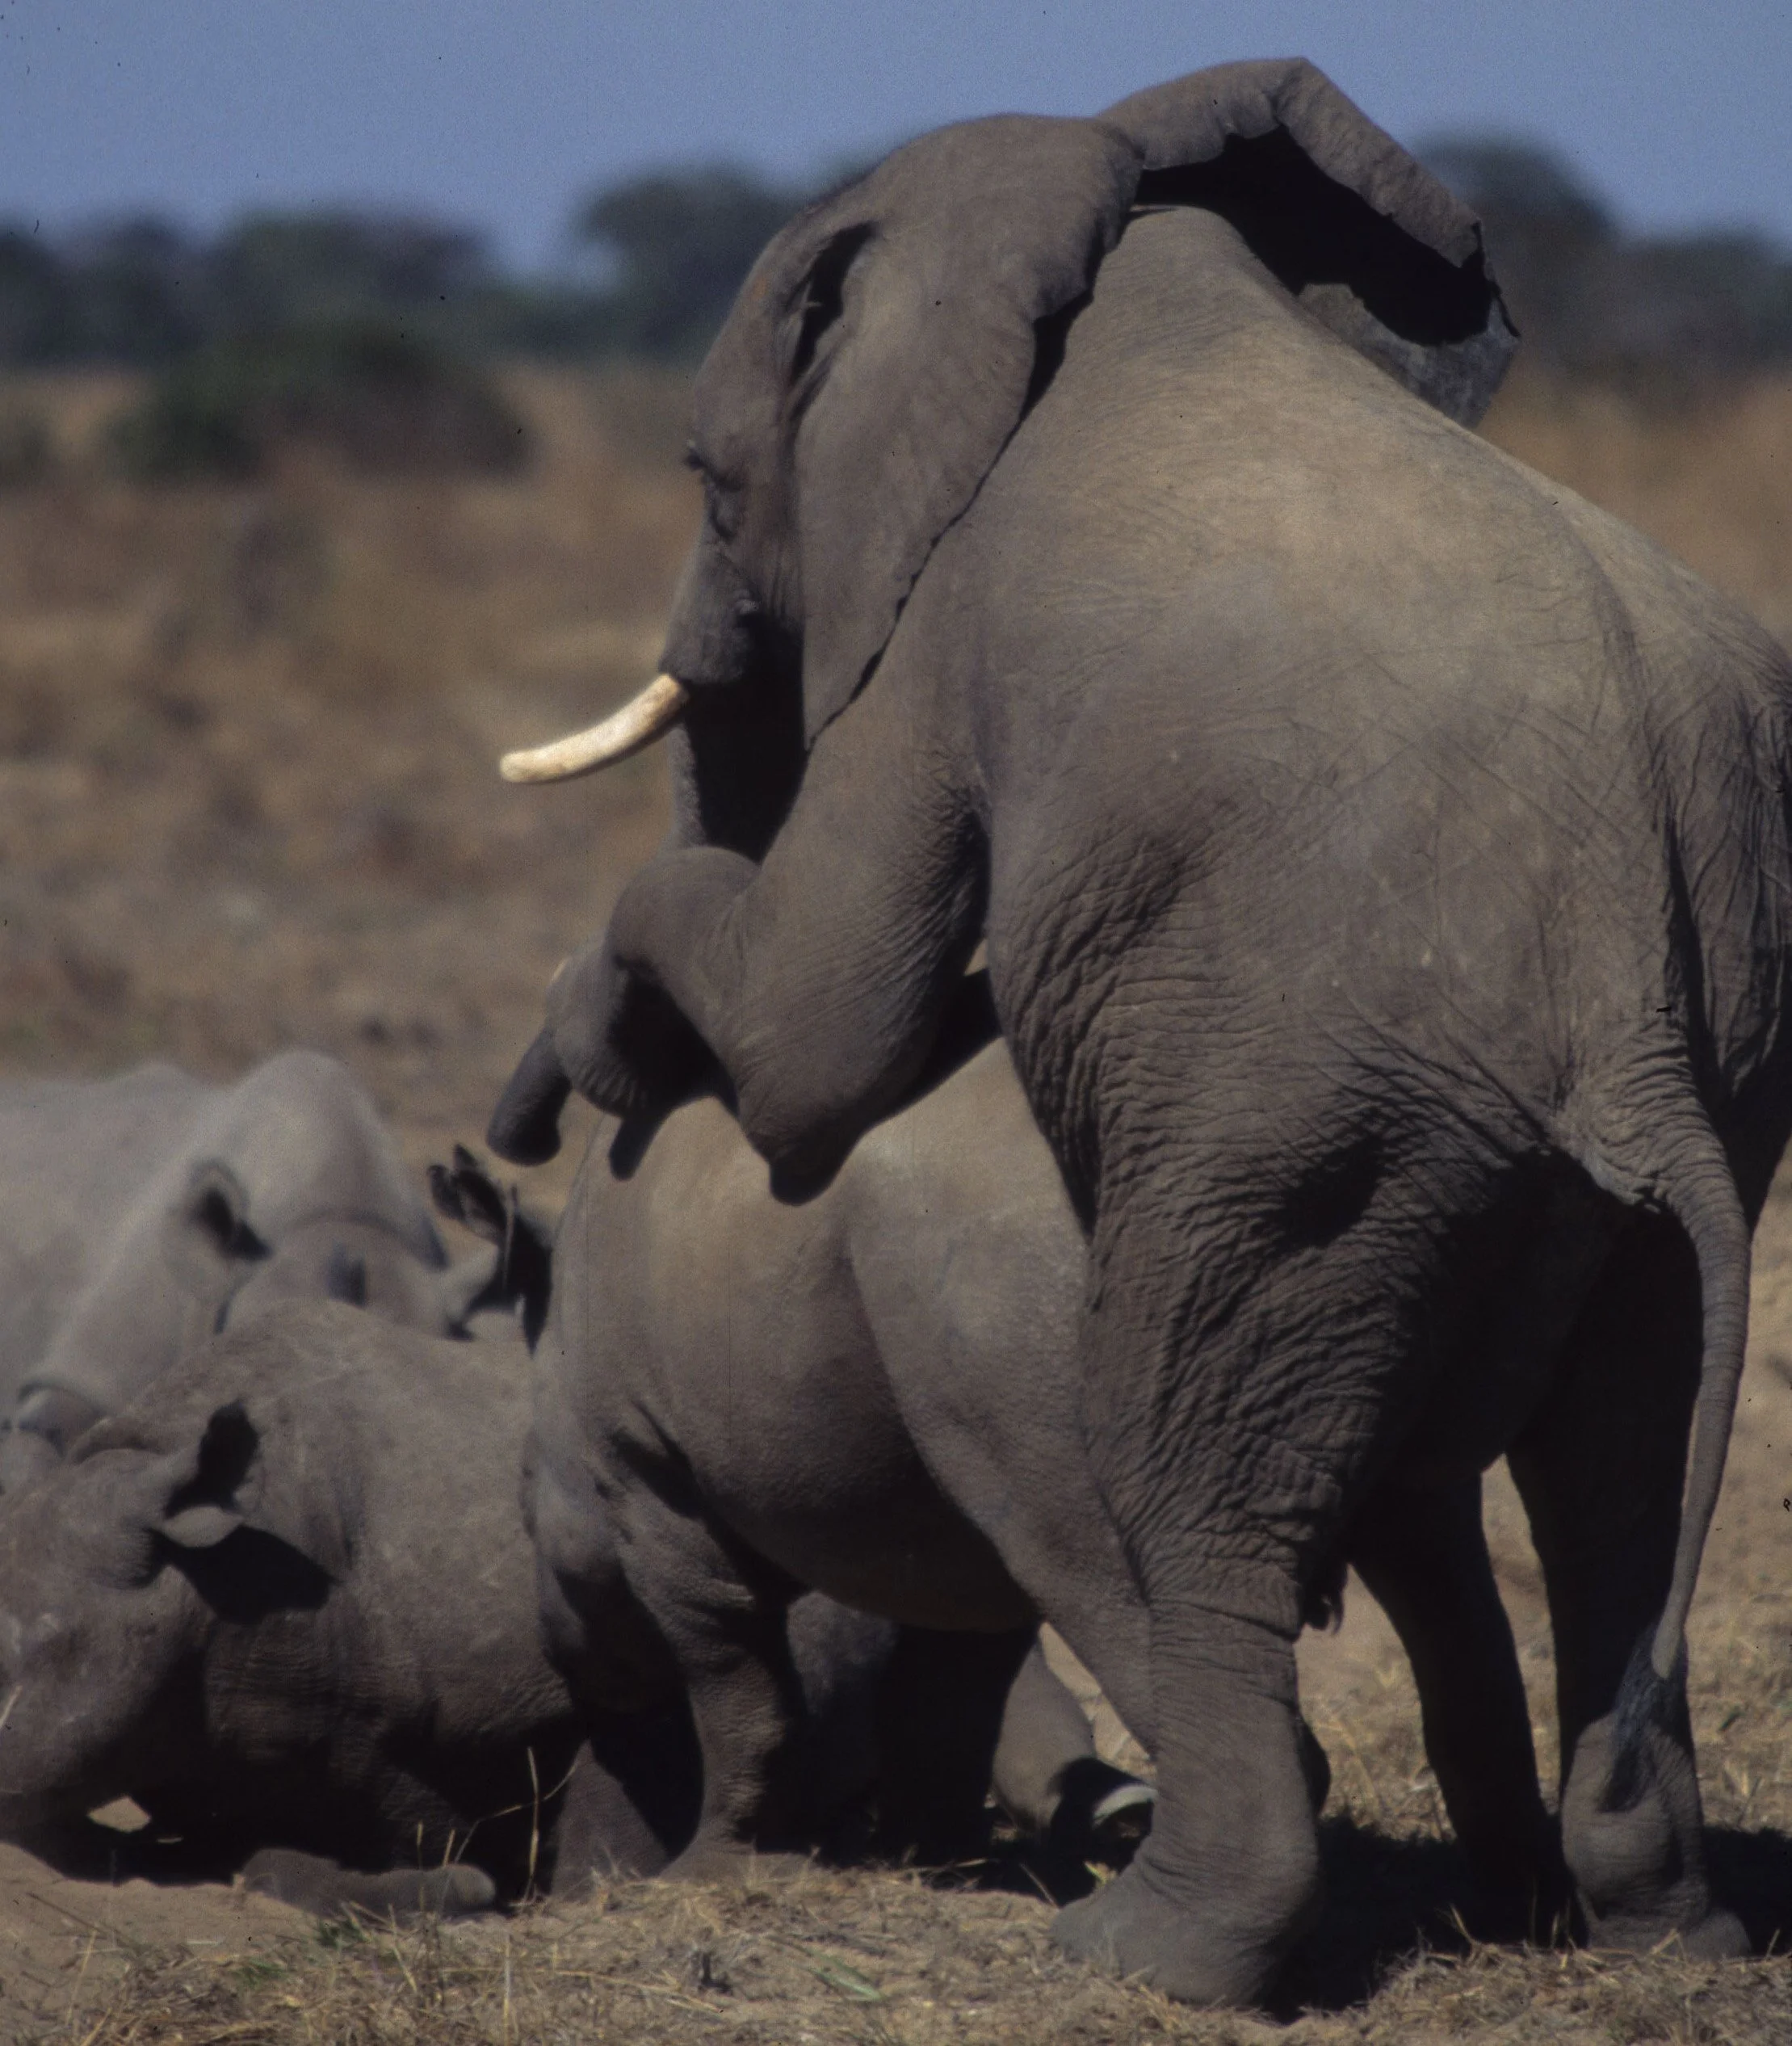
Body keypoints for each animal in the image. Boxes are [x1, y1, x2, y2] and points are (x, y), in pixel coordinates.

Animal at [489, 57, 1792, 2002]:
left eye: (705, 481)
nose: (520, 1133)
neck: (1107, 218)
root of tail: (1626, 1035)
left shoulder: (941, 628)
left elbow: (820, 1025)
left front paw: (602, 1031)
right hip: (1666, 1128)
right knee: (1604, 1499)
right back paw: (1625, 1932)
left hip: (1309, 1132)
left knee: (1182, 1471)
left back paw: (1140, 1949)